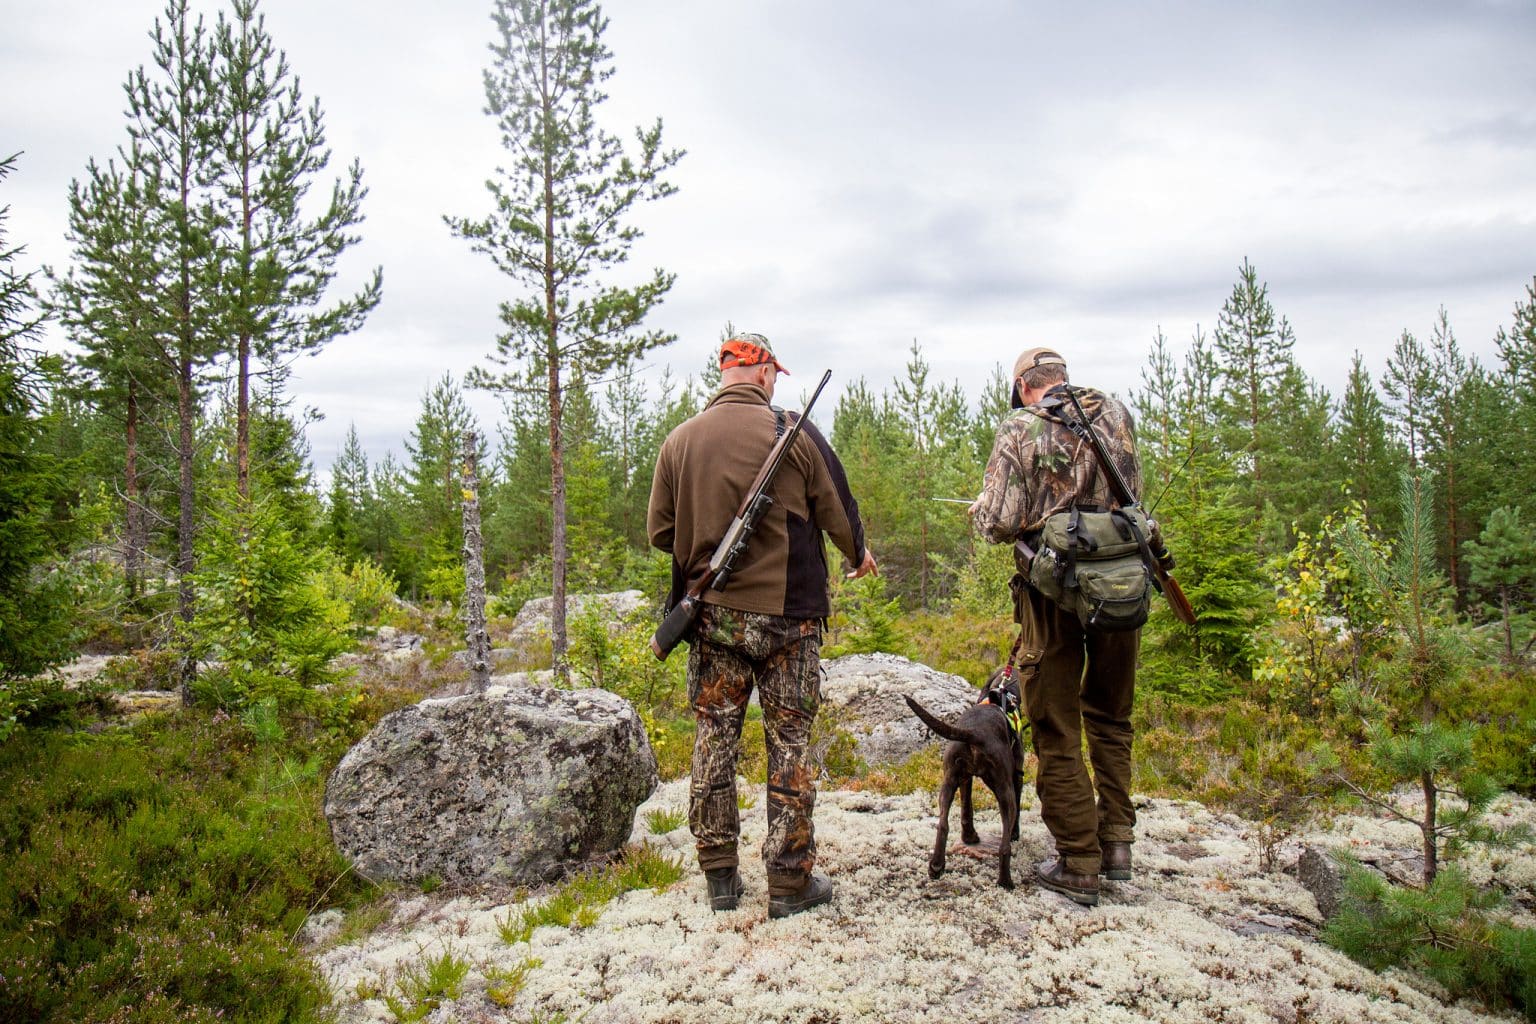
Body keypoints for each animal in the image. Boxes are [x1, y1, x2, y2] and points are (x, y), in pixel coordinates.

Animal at [903, 672, 1026, 890]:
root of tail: (975, 733)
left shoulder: (965, 778)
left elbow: (966, 809)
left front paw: (969, 837)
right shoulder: (1016, 775)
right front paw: (1015, 833)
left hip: (949, 779)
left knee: (943, 824)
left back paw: (936, 866)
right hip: (1004, 788)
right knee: (1004, 845)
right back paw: (1006, 881)